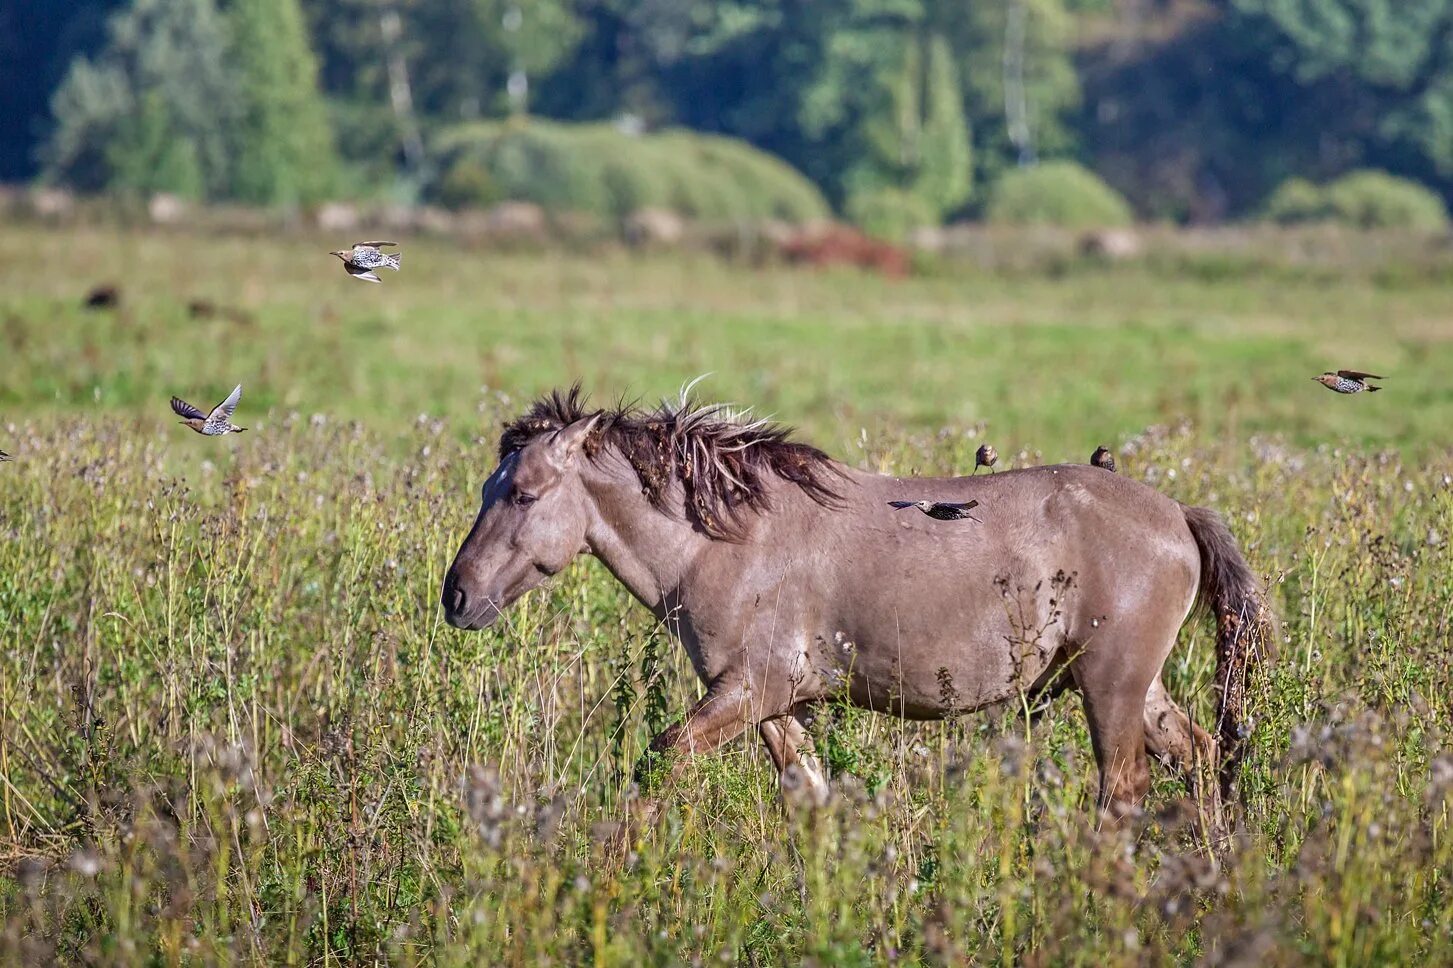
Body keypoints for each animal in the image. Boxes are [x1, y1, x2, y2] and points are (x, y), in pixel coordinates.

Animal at [441, 383, 1272, 819]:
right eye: (489, 487)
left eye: (522, 492)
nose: (457, 596)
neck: (728, 540)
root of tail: (1177, 515)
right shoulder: (777, 706)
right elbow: (808, 798)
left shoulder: (747, 690)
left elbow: (660, 760)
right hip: (1133, 689)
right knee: (1199, 758)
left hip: (1110, 687)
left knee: (1123, 790)